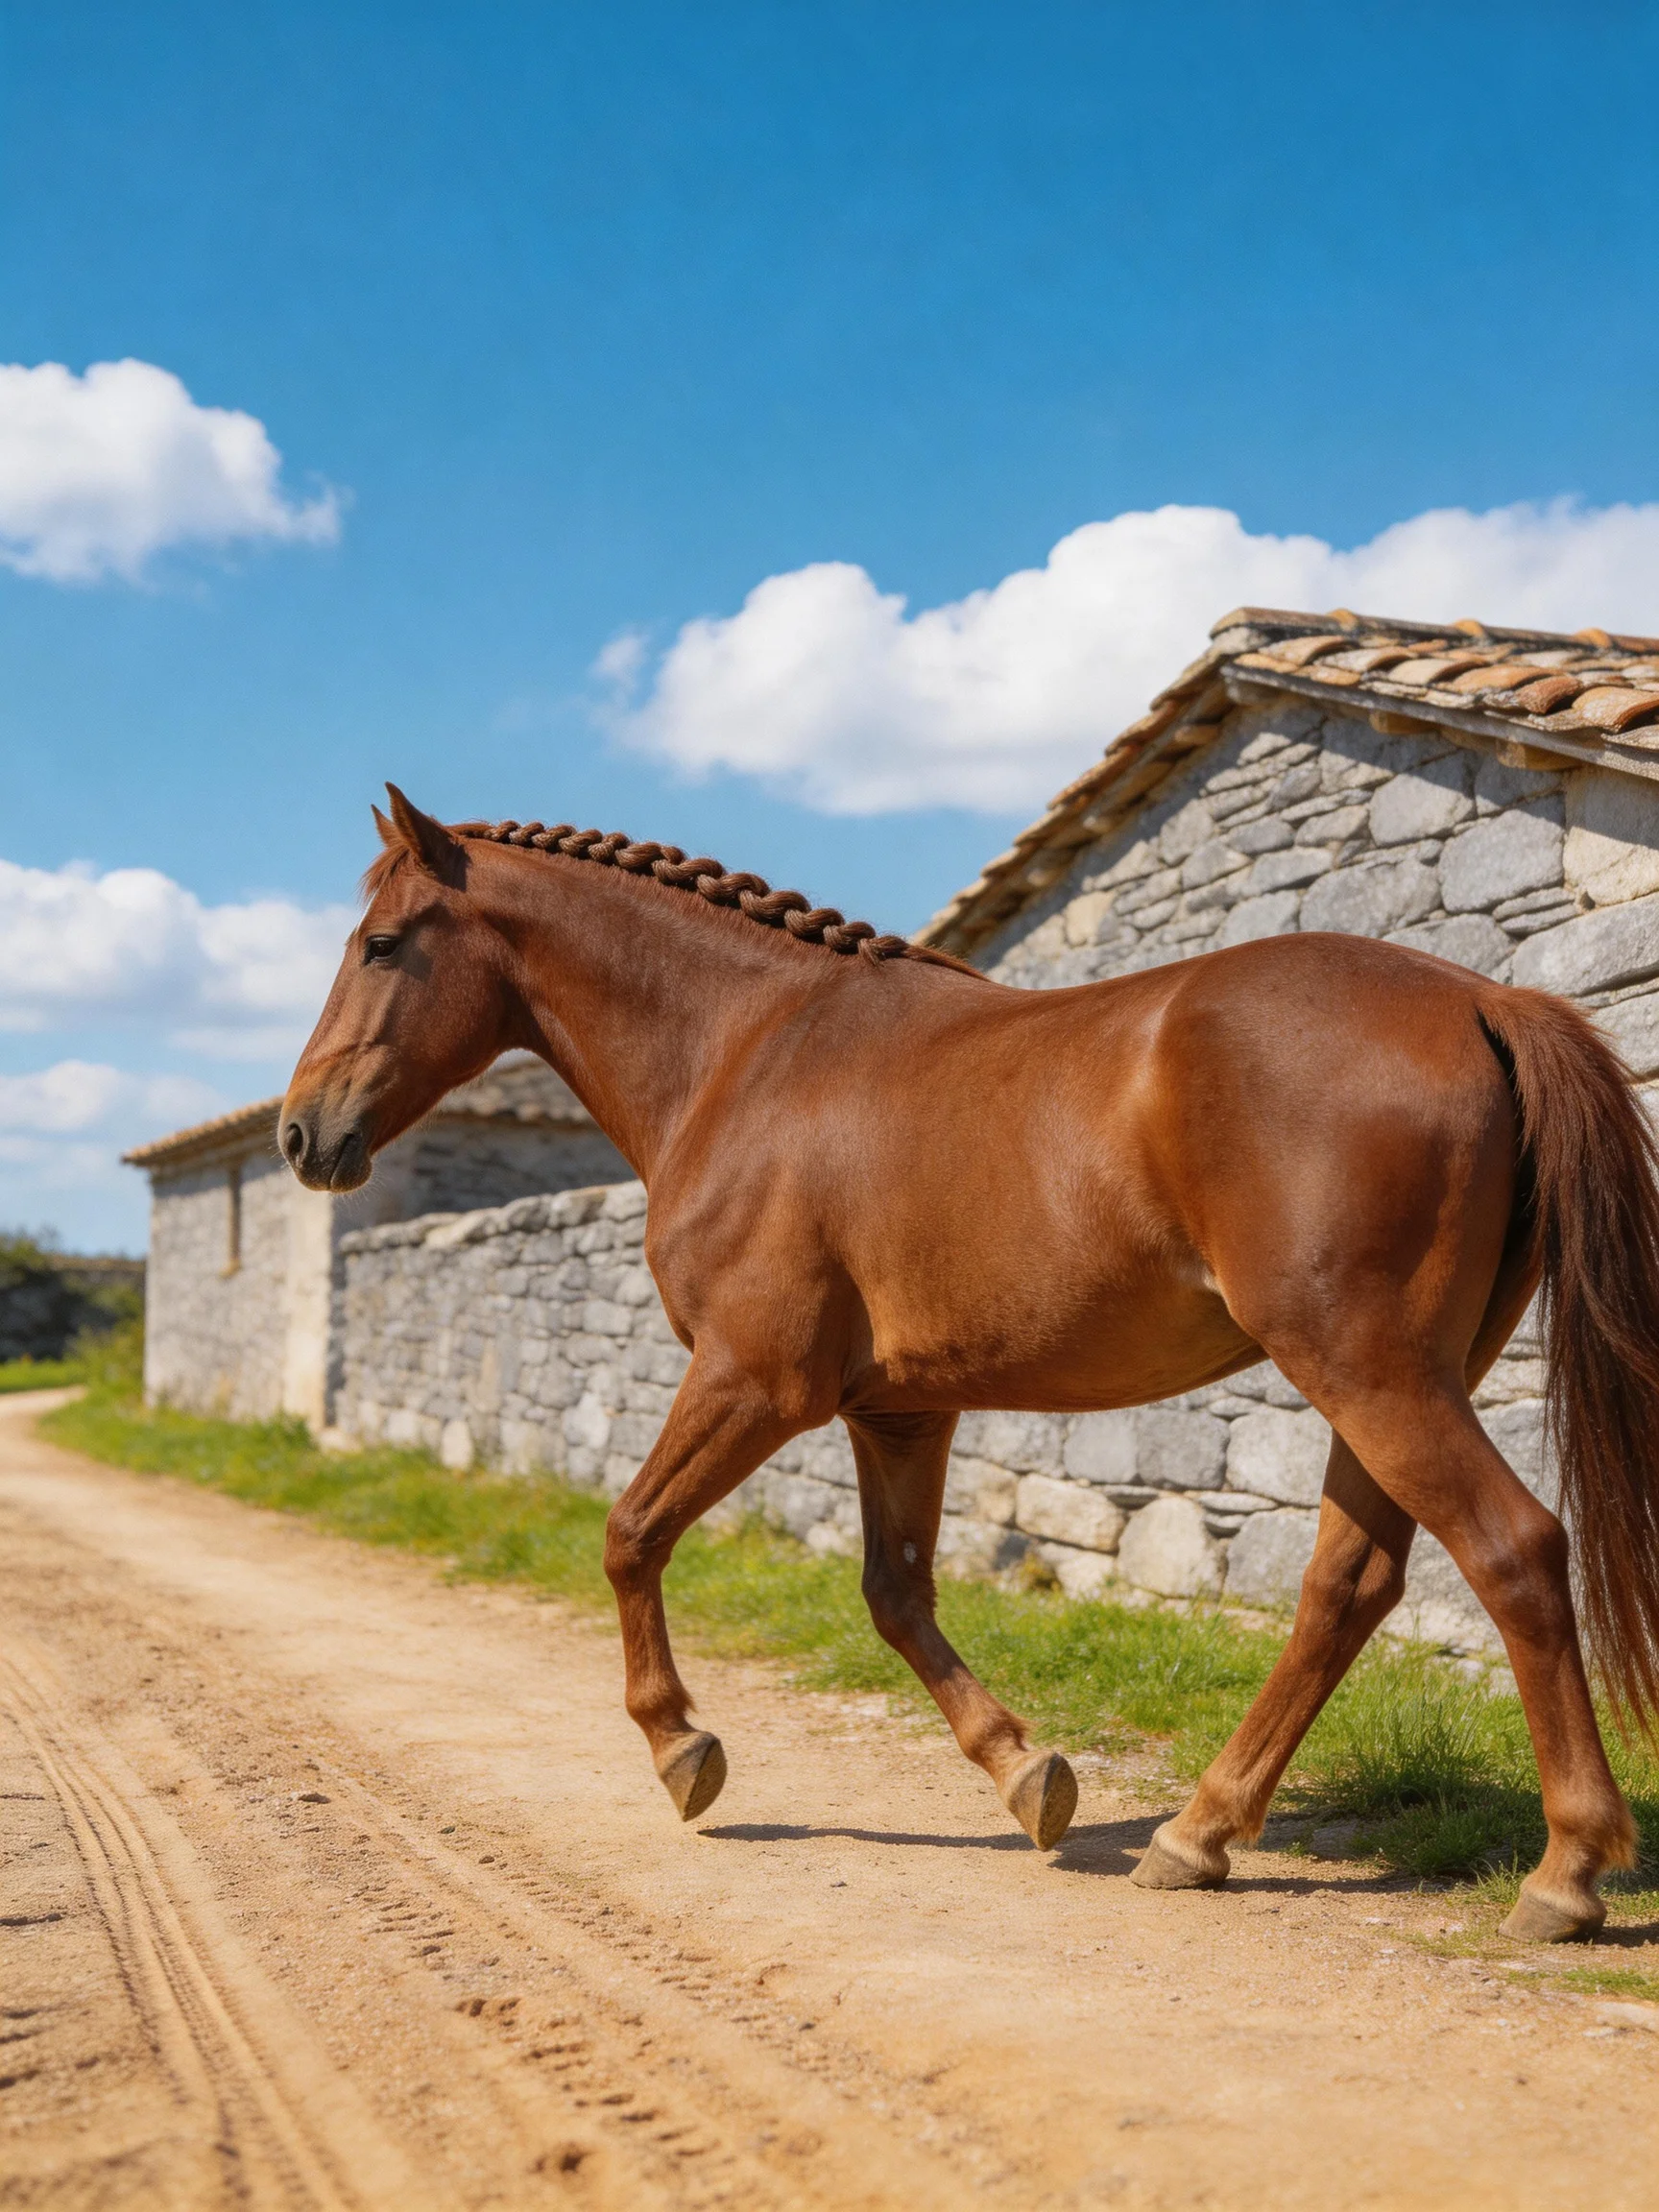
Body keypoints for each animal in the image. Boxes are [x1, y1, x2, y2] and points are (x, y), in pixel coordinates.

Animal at [280, 785, 1659, 1942]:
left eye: (382, 944)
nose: (301, 1135)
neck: (749, 1051)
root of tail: (1483, 1002)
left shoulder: (753, 1381)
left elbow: (631, 1535)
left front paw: (682, 1751)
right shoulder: (898, 1415)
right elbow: (896, 1596)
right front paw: (1027, 1775)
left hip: (1368, 1369)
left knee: (1514, 1551)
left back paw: (1565, 1876)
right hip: (1399, 1377)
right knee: (1348, 1587)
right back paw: (1196, 1836)